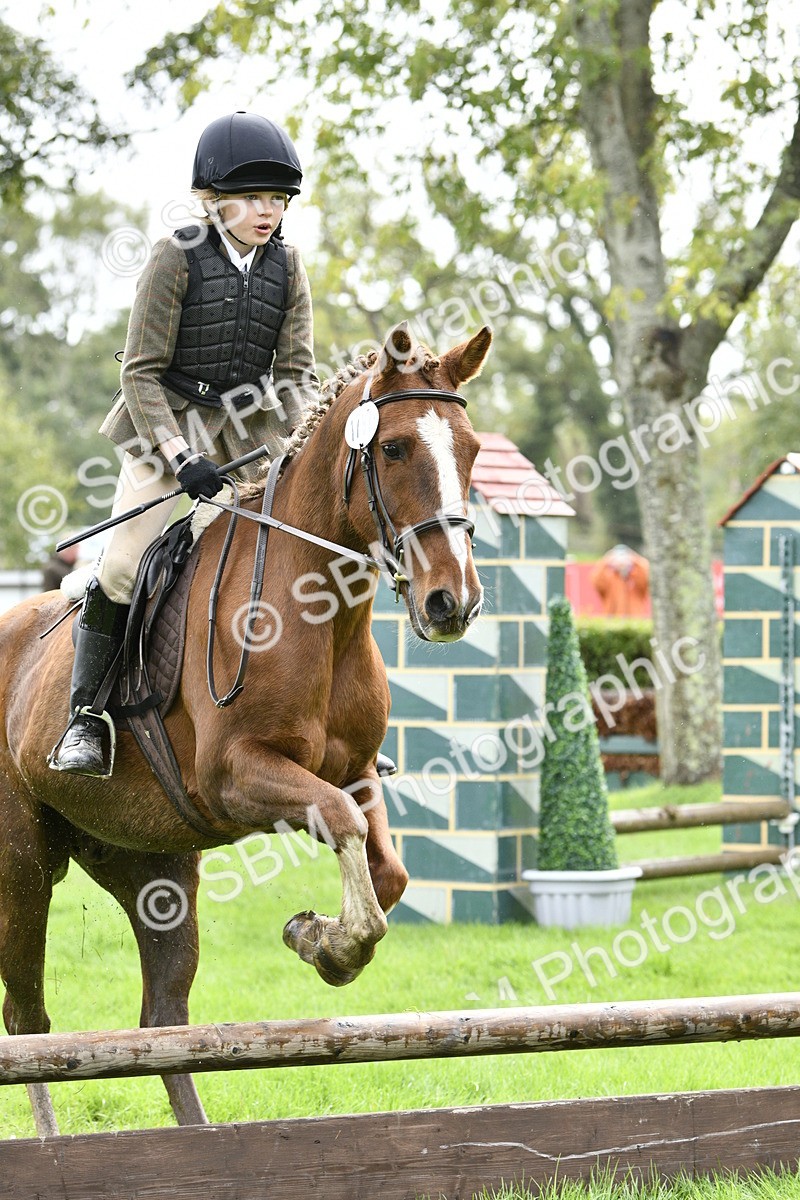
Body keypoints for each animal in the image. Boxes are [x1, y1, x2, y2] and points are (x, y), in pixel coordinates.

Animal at [0, 322, 492, 1134]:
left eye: (472, 448)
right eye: (393, 449)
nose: (453, 602)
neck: (317, 613)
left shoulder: (357, 769)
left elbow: (386, 867)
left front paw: (321, 942)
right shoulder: (238, 777)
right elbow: (341, 824)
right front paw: (330, 940)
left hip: (149, 864)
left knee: (162, 1021)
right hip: (23, 862)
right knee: (29, 1021)